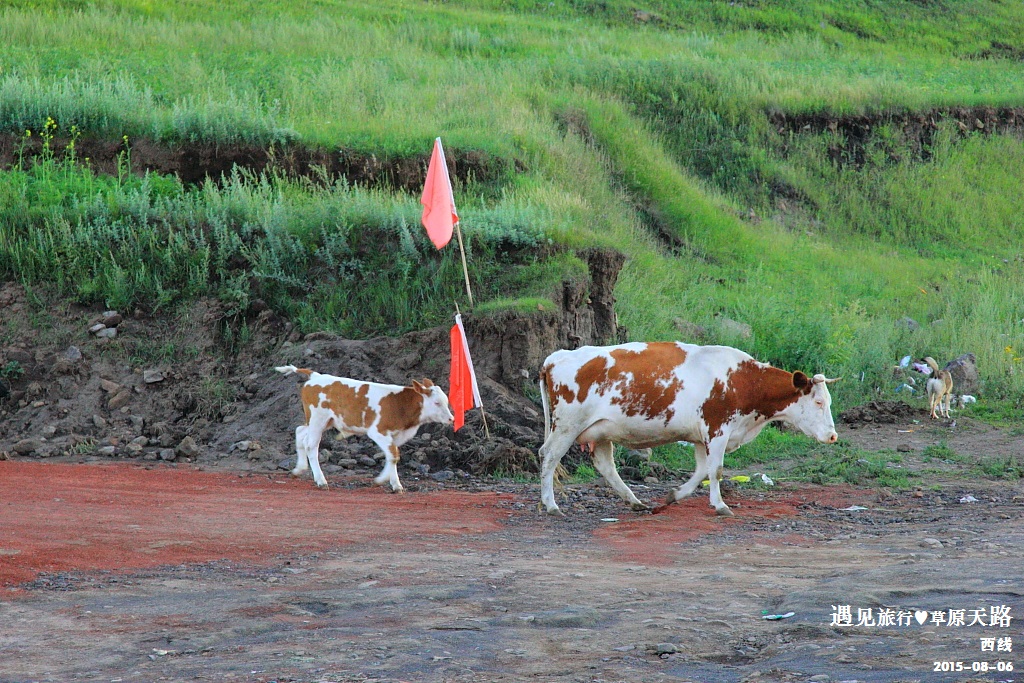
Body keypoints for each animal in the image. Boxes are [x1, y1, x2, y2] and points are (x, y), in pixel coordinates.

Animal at [276, 368, 452, 491]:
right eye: (437, 403)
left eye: (446, 401)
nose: (452, 419)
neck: (400, 404)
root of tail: (315, 376)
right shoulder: (378, 431)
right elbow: (393, 455)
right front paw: (381, 481)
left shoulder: (395, 435)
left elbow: (393, 455)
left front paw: (395, 484)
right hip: (318, 419)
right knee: (311, 445)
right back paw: (321, 480)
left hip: (322, 421)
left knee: (300, 431)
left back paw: (298, 469)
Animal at [536, 344, 839, 516]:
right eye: (819, 402)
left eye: (829, 401)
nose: (833, 435)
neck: (741, 380)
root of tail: (557, 356)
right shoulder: (717, 429)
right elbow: (716, 470)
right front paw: (720, 505)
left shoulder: (701, 436)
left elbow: (702, 470)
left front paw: (675, 495)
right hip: (566, 426)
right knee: (549, 457)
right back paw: (551, 505)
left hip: (600, 432)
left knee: (605, 465)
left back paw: (635, 502)